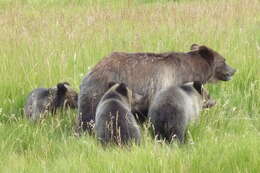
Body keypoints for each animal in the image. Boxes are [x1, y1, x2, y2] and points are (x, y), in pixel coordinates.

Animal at [76, 44, 236, 132]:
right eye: (224, 60)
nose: (234, 70)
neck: (189, 71)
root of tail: (91, 70)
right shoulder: (164, 84)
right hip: (97, 91)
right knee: (88, 116)